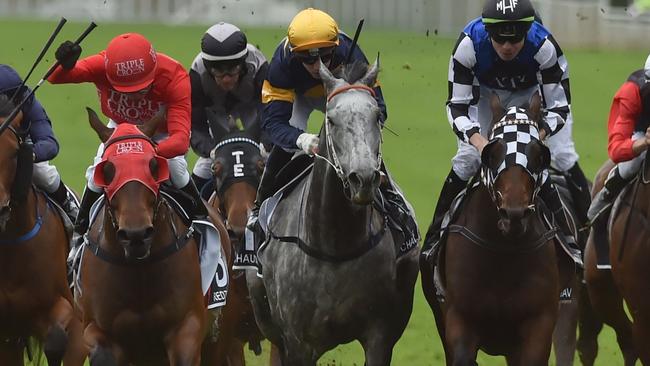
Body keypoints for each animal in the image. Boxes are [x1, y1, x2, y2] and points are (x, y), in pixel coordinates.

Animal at [76, 111, 229, 366]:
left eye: (154, 165)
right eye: (107, 170)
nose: (136, 235)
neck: (139, 271)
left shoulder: (187, 328)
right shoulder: (97, 329)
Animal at [246, 60, 418, 366]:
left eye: (376, 116)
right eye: (332, 119)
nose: (363, 179)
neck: (335, 243)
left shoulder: (381, 334)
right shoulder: (299, 342)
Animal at [420, 94, 568, 366]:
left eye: (537, 154)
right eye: (494, 152)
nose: (514, 214)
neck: (503, 254)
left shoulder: (538, 324)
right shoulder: (460, 318)